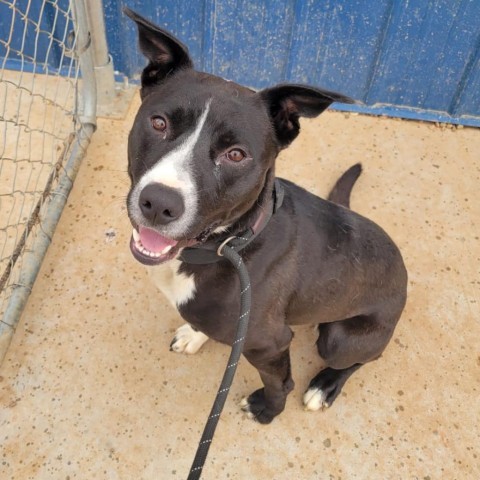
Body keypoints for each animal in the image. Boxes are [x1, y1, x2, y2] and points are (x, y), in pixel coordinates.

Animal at [123, 9, 404, 424]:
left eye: (236, 154)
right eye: (158, 123)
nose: (158, 202)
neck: (230, 244)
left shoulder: (269, 343)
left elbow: (279, 382)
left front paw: (269, 409)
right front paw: (195, 334)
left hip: (340, 339)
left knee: (363, 357)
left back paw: (325, 385)